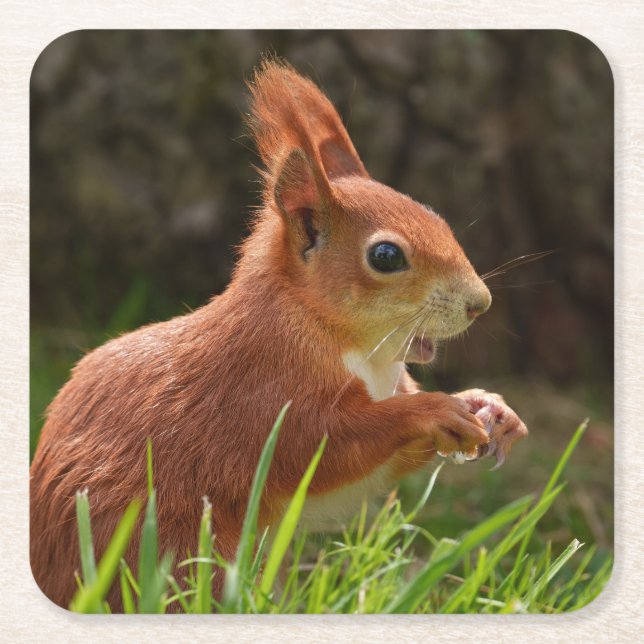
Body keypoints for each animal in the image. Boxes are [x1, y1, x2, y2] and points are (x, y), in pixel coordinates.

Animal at [30, 60, 528, 609]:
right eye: (386, 256)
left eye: (436, 216)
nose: (479, 303)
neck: (353, 344)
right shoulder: (263, 393)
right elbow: (323, 446)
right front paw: (433, 410)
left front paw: (491, 407)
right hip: (166, 544)